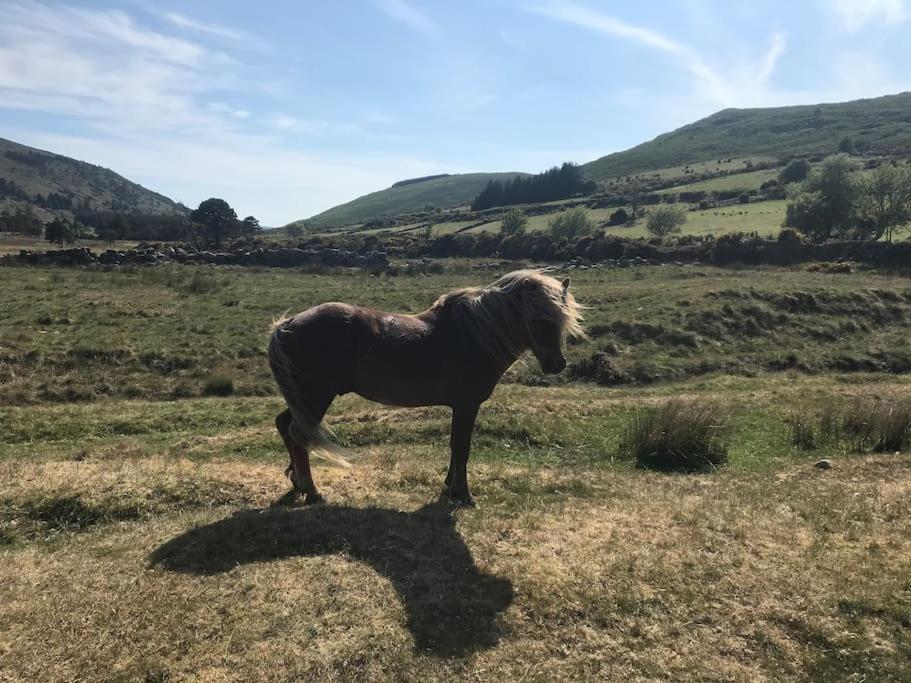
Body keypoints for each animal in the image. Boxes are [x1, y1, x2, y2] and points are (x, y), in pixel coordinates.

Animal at [268, 270, 588, 504]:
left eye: (561, 319)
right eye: (536, 318)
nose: (556, 364)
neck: (473, 335)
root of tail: (287, 325)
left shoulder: (461, 407)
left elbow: (456, 447)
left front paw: (449, 489)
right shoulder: (467, 405)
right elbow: (462, 447)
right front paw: (463, 494)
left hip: (304, 399)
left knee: (285, 425)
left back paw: (298, 483)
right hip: (315, 397)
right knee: (298, 435)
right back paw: (312, 490)